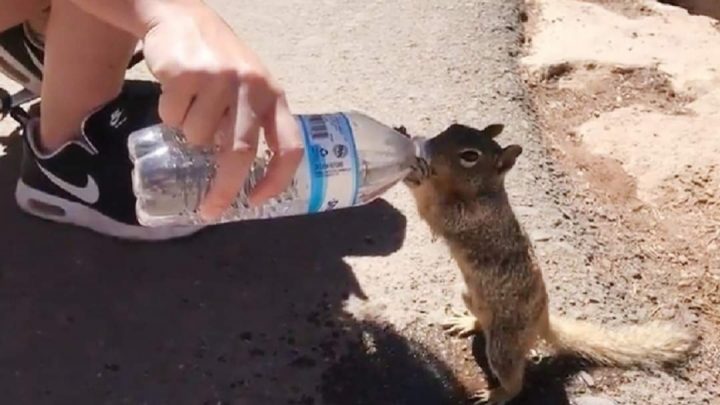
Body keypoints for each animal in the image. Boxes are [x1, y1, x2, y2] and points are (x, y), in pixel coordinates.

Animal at [401, 123, 698, 404]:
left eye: (470, 156)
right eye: (452, 127)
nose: (427, 147)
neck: (485, 191)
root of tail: (542, 321)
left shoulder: (469, 216)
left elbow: (432, 209)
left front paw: (412, 173)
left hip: (503, 345)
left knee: (514, 378)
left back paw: (497, 395)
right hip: (469, 295)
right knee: (482, 322)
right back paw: (468, 322)